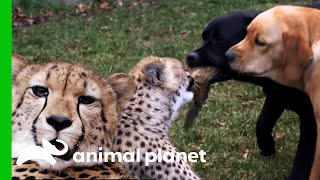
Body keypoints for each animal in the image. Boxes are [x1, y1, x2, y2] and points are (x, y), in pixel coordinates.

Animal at [186, 1, 320, 180]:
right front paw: (267, 146)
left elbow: (303, 158)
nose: (189, 57)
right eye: (204, 37)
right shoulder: (275, 97)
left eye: (219, 38)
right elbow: (262, 123)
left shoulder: (310, 120)